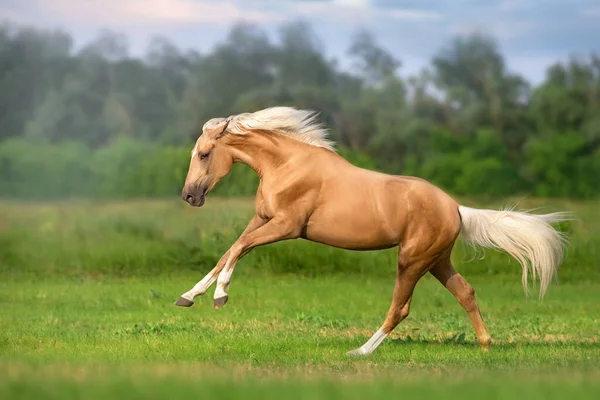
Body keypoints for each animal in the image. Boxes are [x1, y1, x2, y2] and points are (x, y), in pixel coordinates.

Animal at [175, 106, 572, 356]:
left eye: (205, 154)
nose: (189, 196)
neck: (287, 165)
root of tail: (457, 209)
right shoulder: (262, 220)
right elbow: (229, 250)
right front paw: (189, 296)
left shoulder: (286, 227)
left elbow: (239, 248)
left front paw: (220, 296)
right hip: (437, 261)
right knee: (466, 293)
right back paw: (486, 344)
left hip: (412, 261)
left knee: (401, 308)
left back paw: (361, 351)